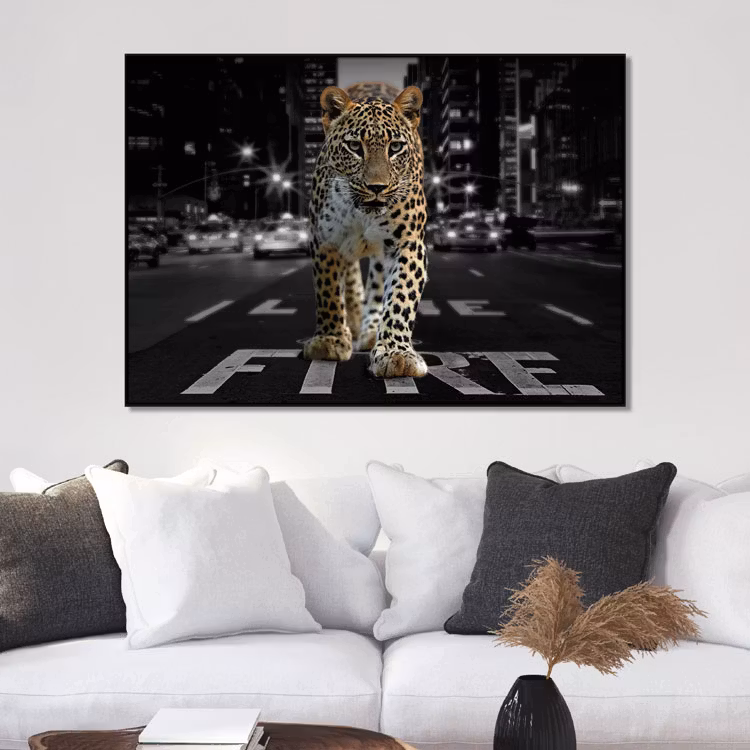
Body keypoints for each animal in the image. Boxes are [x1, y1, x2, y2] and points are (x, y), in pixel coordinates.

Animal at [302, 80, 429, 378]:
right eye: (353, 147)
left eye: (395, 147)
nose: (377, 187)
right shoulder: (325, 241)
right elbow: (327, 291)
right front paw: (330, 340)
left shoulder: (408, 242)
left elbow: (400, 295)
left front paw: (396, 353)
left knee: (377, 287)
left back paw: (371, 331)